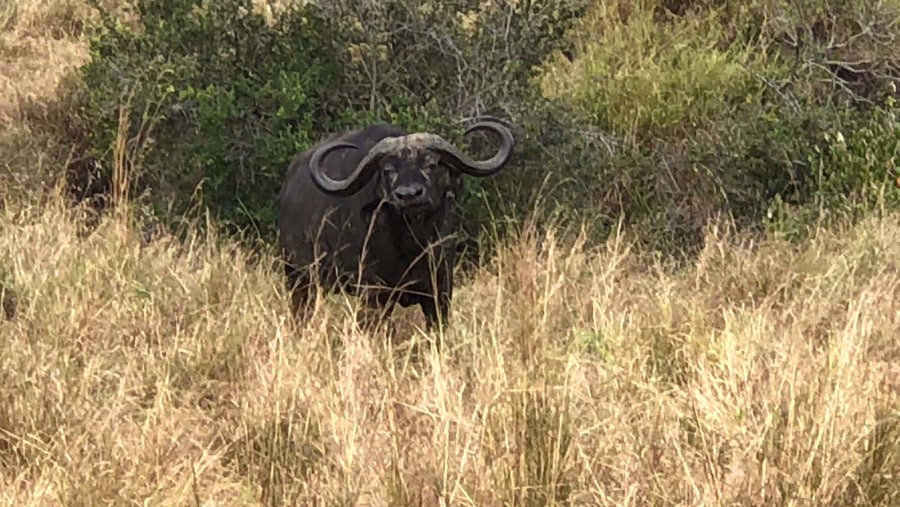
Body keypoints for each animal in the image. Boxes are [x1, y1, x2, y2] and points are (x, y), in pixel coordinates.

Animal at [276, 120, 512, 332]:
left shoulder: (440, 289)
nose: (409, 195)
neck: (413, 244)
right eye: (388, 170)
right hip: (298, 277)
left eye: (431, 164)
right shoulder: (374, 292)